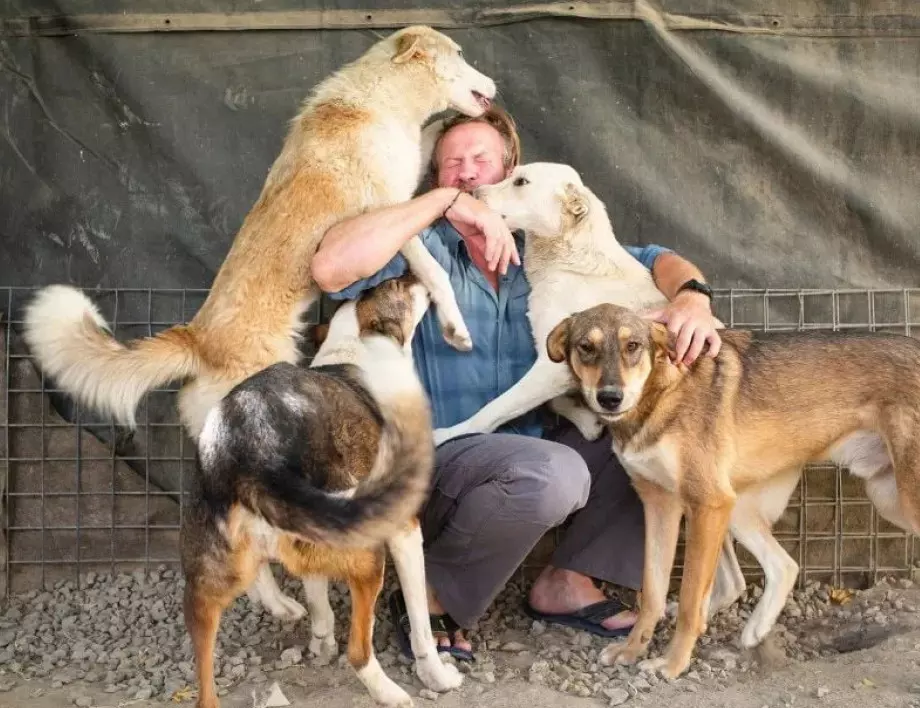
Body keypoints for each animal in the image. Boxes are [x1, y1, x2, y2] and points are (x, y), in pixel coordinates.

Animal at [181, 276, 460, 708]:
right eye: (396, 285)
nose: (417, 275)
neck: (353, 348)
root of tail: (250, 454)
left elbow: (318, 601)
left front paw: (320, 643)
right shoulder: (405, 532)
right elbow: (420, 624)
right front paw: (436, 675)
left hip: (203, 593)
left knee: (205, 691)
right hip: (369, 554)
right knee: (359, 651)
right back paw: (391, 693)